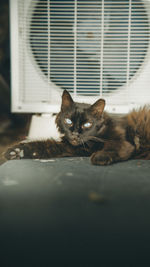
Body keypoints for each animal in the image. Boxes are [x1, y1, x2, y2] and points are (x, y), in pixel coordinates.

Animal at [3, 90, 150, 165]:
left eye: (87, 124)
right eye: (68, 121)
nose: (74, 134)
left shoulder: (123, 143)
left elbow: (112, 147)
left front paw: (100, 157)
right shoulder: (69, 147)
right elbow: (44, 146)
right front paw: (17, 151)